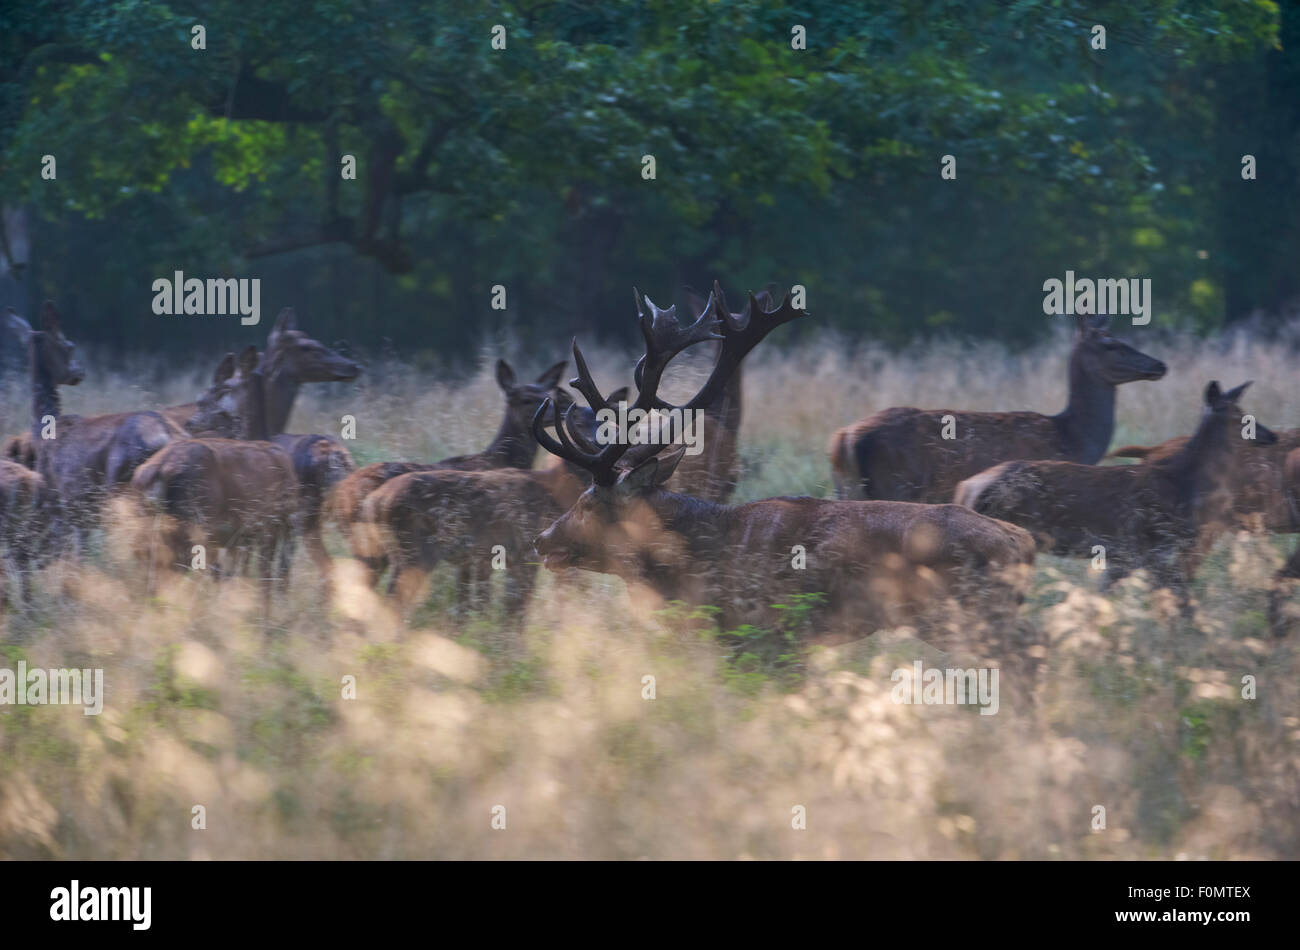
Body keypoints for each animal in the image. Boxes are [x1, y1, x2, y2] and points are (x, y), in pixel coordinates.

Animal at [527, 285, 1034, 649]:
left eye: (589, 503)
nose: (541, 539)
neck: (699, 565)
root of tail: (1023, 545)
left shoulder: (768, 633)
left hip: (969, 615)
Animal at [826, 311, 1164, 504]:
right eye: (1111, 344)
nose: (1159, 364)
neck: (1071, 440)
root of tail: (844, 438)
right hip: (893, 486)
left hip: (846, 488)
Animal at [951, 382, 1274, 616]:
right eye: (1240, 416)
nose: (1270, 436)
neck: (1184, 485)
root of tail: (966, 487)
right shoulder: (1152, 550)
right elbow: (1183, 607)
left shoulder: (1125, 557)